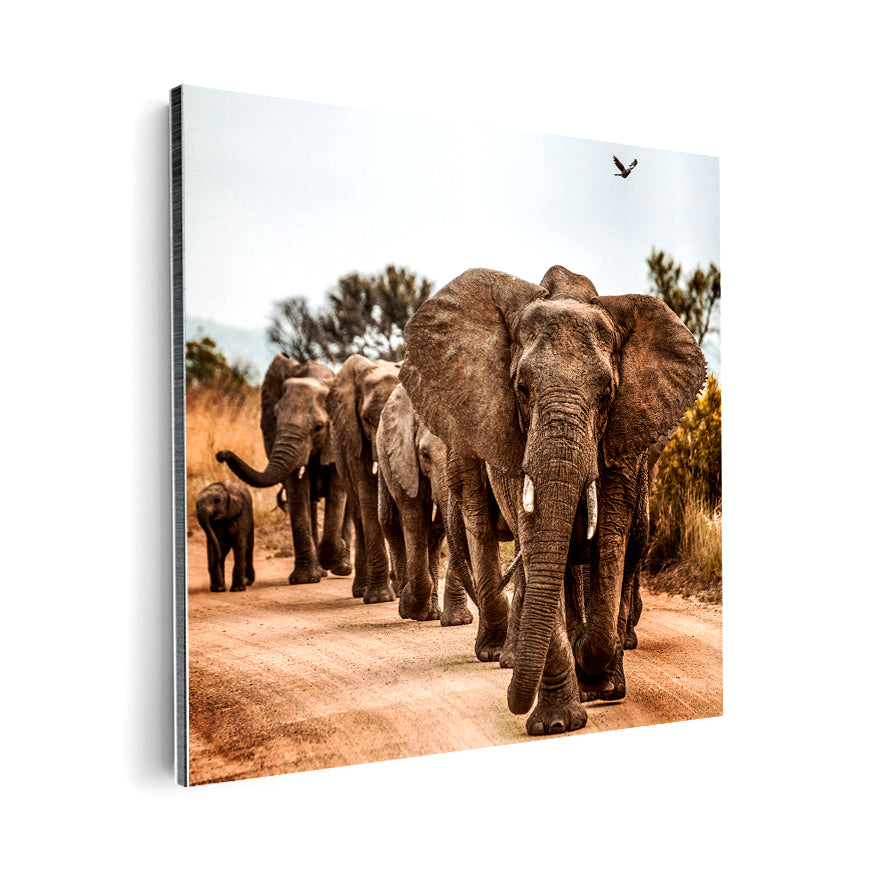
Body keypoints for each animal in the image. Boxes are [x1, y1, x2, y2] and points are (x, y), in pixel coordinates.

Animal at [216, 354, 353, 585]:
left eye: (319, 427)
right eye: (275, 418)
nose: (221, 454)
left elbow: (337, 492)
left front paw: (336, 554)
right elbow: (297, 491)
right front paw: (305, 579)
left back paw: (342, 568)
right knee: (311, 503)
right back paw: (321, 571)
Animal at [325, 354, 400, 604]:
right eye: (367, 419)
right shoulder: (353, 434)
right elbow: (367, 494)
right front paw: (379, 598)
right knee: (359, 515)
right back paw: (361, 590)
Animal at [375, 383, 474, 625]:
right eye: (425, 454)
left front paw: (457, 621)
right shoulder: (404, 458)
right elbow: (413, 516)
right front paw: (409, 608)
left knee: (436, 534)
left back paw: (431, 613)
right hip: (384, 458)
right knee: (389, 522)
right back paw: (407, 598)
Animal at [400, 265, 705, 735]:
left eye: (607, 395)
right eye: (522, 389)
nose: (512, 700)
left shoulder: (623, 438)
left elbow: (610, 540)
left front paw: (600, 683)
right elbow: (538, 540)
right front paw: (558, 722)